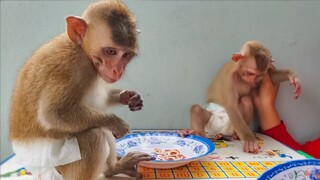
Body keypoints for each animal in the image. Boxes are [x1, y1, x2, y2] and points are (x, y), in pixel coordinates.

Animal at [9, 0, 153, 179]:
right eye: (111, 51)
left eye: (126, 55)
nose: (117, 71)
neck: (82, 49)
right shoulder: (75, 68)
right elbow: (52, 114)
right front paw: (117, 123)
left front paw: (128, 97)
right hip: (55, 167)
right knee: (95, 135)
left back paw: (113, 168)